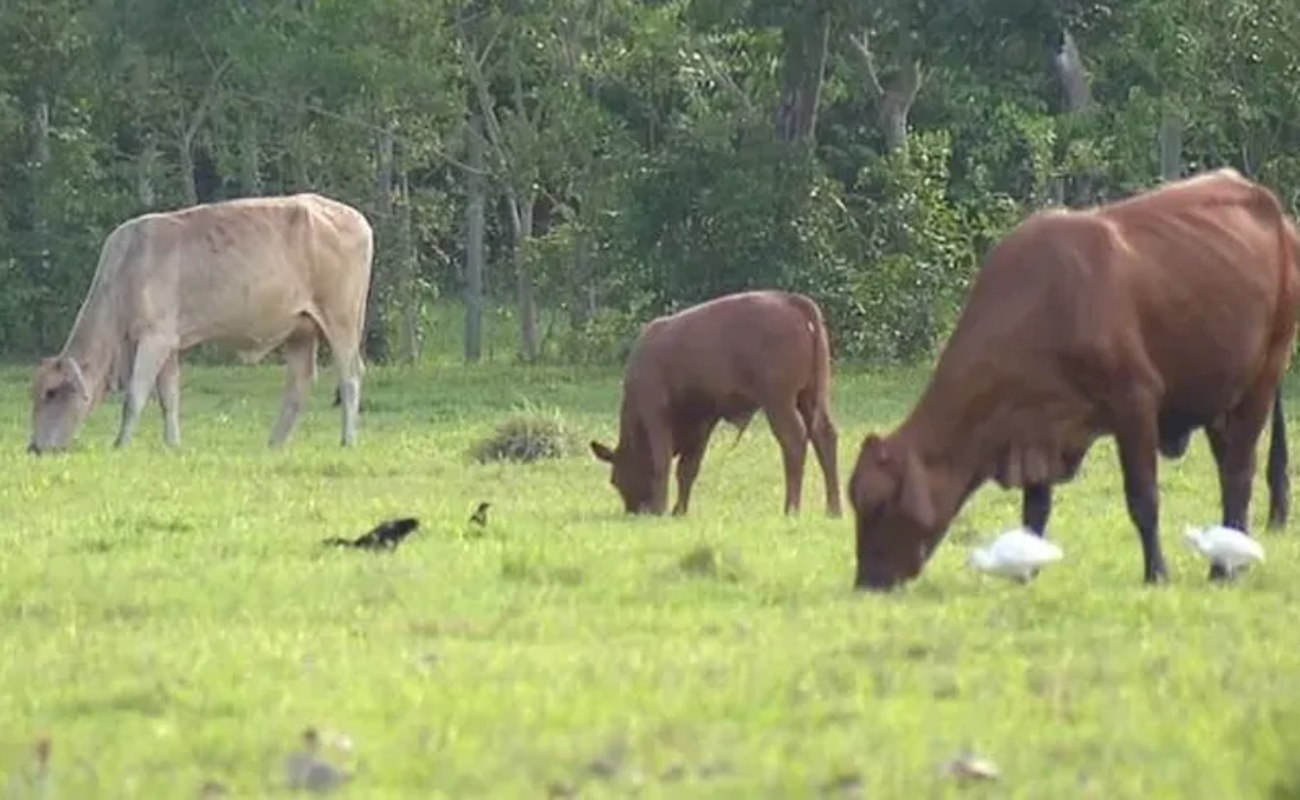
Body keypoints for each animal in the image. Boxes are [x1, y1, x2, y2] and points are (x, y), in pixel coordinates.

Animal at [27, 193, 374, 452]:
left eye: (52, 393)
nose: (34, 448)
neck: (127, 269)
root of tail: (355, 217)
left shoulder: (154, 338)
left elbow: (135, 396)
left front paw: (120, 444)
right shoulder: (168, 344)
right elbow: (169, 397)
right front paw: (172, 444)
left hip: (342, 321)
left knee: (350, 376)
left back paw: (347, 440)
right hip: (300, 331)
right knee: (299, 385)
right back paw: (274, 444)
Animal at [592, 291, 842, 517]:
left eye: (615, 479)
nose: (634, 511)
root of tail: (791, 300)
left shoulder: (655, 413)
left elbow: (663, 461)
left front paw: (662, 508)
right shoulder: (704, 421)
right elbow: (688, 468)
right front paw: (679, 510)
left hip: (779, 402)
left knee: (794, 440)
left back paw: (791, 509)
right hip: (811, 397)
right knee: (824, 437)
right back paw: (834, 510)